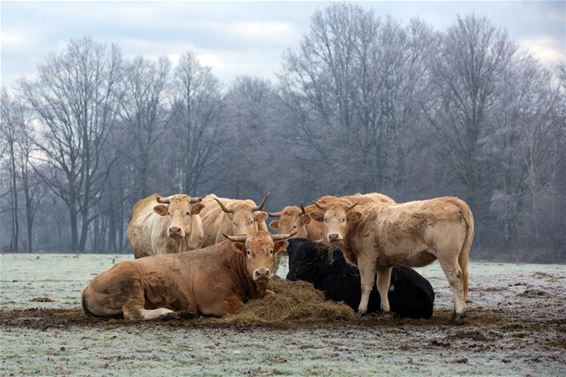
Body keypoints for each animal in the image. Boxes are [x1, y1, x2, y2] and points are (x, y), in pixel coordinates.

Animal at [81, 229, 298, 320]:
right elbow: (242, 308)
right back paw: (169, 313)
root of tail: (88, 287)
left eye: (271, 251)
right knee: (134, 313)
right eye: (248, 252)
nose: (261, 272)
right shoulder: (217, 302)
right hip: (131, 283)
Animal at [312, 195, 478, 322]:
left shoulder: (366, 259)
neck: (361, 222)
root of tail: (453, 200)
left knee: (456, 279)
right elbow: (382, 286)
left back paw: (458, 315)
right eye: (326, 219)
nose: (333, 236)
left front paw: (361, 311)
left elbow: (366, 285)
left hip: (447, 255)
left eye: (343, 219)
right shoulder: (384, 264)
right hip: (462, 254)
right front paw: (385, 311)